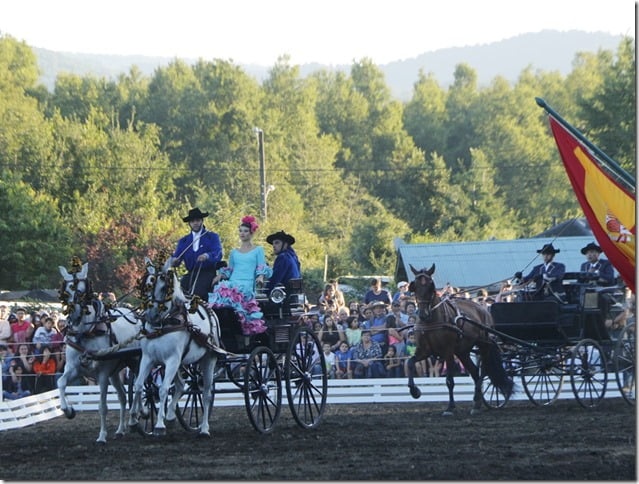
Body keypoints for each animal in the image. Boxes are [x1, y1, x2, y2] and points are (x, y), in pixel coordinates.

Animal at [57, 260, 142, 442]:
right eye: (66, 291)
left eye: (81, 291)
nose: (73, 315)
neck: (86, 332)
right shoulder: (74, 368)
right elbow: (60, 383)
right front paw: (69, 410)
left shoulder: (102, 374)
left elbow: (102, 406)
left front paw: (102, 436)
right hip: (115, 373)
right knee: (123, 396)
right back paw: (121, 429)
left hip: (136, 362)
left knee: (140, 387)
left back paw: (139, 414)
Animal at [129, 255, 221, 436]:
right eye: (145, 285)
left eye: (165, 287)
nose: (150, 314)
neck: (162, 324)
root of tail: (210, 310)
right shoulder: (148, 359)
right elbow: (139, 385)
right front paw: (136, 417)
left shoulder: (172, 359)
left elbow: (163, 389)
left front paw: (159, 425)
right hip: (181, 363)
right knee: (180, 385)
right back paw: (171, 416)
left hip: (208, 359)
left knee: (206, 393)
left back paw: (204, 429)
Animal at [408, 264, 516, 416]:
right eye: (415, 286)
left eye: (431, 286)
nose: (423, 314)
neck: (430, 321)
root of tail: (484, 311)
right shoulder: (424, 351)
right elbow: (410, 363)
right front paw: (415, 391)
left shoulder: (447, 351)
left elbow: (449, 380)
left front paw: (450, 407)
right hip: (462, 351)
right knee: (475, 372)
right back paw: (476, 403)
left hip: (483, 345)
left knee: (483, 371)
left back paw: (477, 401)